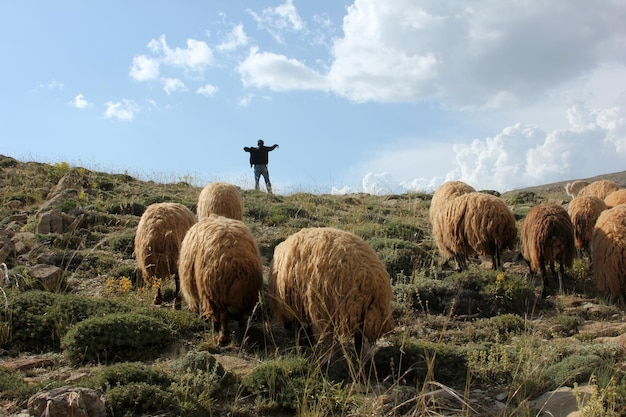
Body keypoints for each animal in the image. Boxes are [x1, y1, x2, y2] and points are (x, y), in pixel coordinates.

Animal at [177, 213, 262, 342]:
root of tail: (237, 264)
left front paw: (204, 316)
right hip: (247, 293)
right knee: (242, 311)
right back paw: (241, 325)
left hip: (216, 292)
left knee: (224, 316)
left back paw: (223, 338)